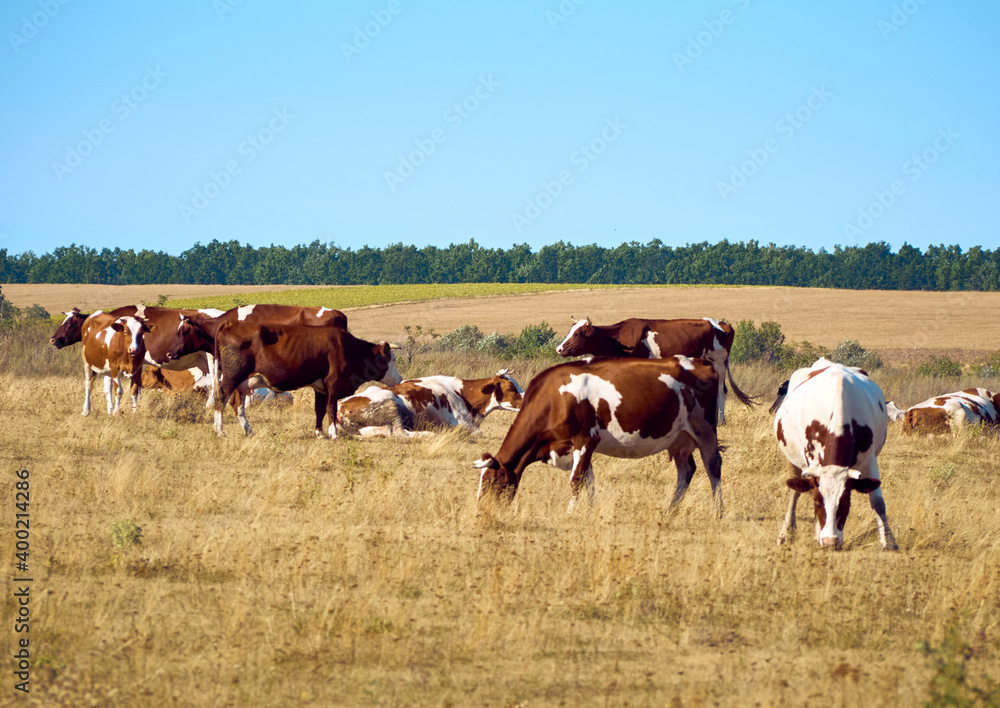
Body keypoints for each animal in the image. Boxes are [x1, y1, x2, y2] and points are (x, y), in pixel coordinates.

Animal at [212, 321, 401, 437]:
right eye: (391, 359)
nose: (399, 379)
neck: (349, 348)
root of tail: (231, 324)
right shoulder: (333, 382)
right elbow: (331, 409)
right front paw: (334, 433)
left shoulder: (320, 386)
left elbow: (320, 410)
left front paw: (320, 433)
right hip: (231, 377)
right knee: (220, 400)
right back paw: (219, 431)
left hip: (242, 382)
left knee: (236, 404)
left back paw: (248, 430)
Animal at [335, 369, 524, 438]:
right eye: (511, 387)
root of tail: (339, 406)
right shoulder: (460, 423)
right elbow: (478, 433)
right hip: (389, 402)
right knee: (400, 433)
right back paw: (428, 434)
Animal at [473, 356, 724, 515]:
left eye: (491, 482)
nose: (480, 511)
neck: (554, 399)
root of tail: (701, 362)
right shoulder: (577, 446)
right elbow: (588, 480)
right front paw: (590, 511)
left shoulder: (585, 439)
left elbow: (576, 480)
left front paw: (571, 512)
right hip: (679, 438)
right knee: (686, 471)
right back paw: (669, 511)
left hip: (704, 429)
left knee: (713, 465)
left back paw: (718, 512)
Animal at [555, 317, 756, 424]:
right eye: (570, 330)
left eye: (577, 333)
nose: (559, 348)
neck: (620, 339)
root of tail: (722, 323)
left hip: (719, 363)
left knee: (721, 391)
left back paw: (720, 420)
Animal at [773, 358, 897, 551]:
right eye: (817, 501)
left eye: (846, 502)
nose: (830, 541)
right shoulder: (812, 463)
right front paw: (818, 534)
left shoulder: (869, 460)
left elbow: (878, 502)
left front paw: (889, 541)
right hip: (792, 459)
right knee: (795, 492)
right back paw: (786, 533)